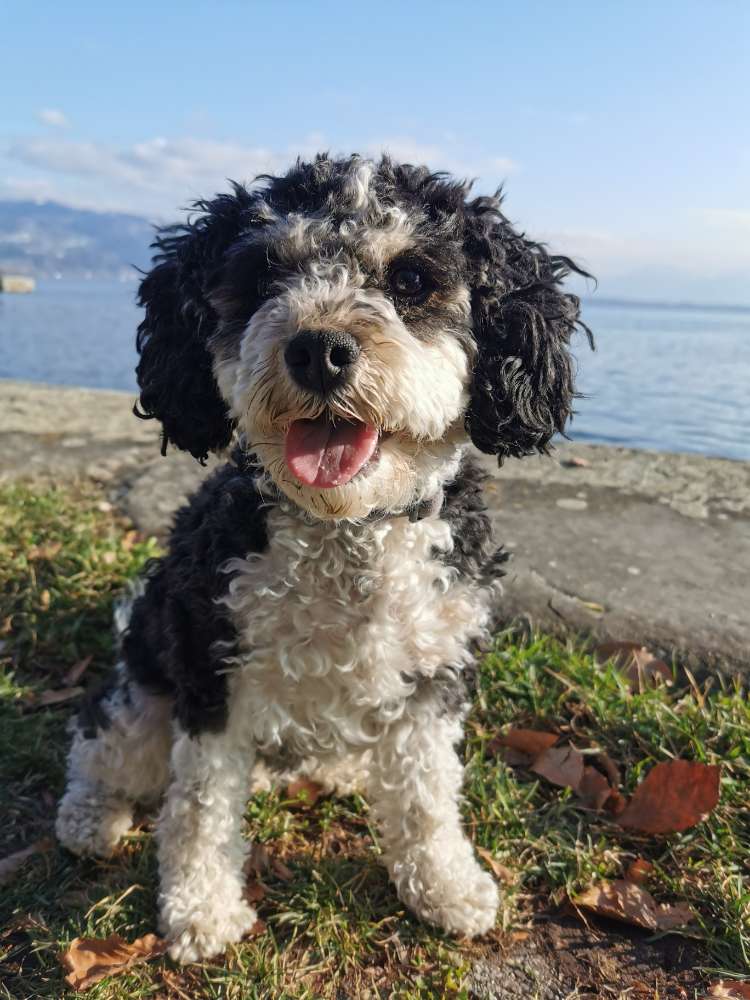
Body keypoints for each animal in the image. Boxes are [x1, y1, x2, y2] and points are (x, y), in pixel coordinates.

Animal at [55, 154, 592, 960]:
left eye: (412, 280)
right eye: (260, 276)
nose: (318, 349)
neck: (348, 531)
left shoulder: (433, 675)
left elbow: (429, 795)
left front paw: (446, 885)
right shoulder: (213, 673)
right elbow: (201, 807)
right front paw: (200, 910)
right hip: (146, 688)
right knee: (102, 741)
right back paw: (90, 816)